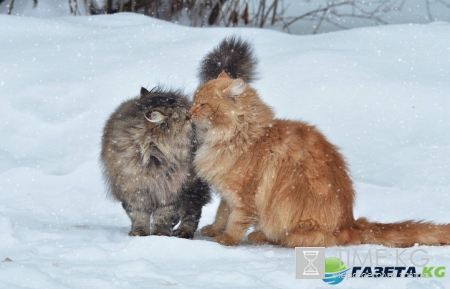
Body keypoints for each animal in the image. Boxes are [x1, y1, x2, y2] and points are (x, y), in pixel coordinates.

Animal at [101, 86, 210, 237]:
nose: (192, 115)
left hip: (193, 187)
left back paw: (183, 231)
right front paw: (139, 232)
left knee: (192, 211)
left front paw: (160, 233)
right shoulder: (133, 189)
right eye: (187, 118)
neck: (152, 158)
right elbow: (138, 215)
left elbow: (164, 215)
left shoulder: (170, 190)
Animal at [188, 70, 450, 248]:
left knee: (291, 239)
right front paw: (213, 230)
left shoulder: (244, 195)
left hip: (290, 219)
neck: (238, 137)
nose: (189, 114)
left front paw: (226, 239)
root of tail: (350, 224)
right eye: (193, 102)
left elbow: (235, 221)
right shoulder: (227, 195)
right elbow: (221, 214)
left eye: (202, 104)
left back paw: (260, 236)